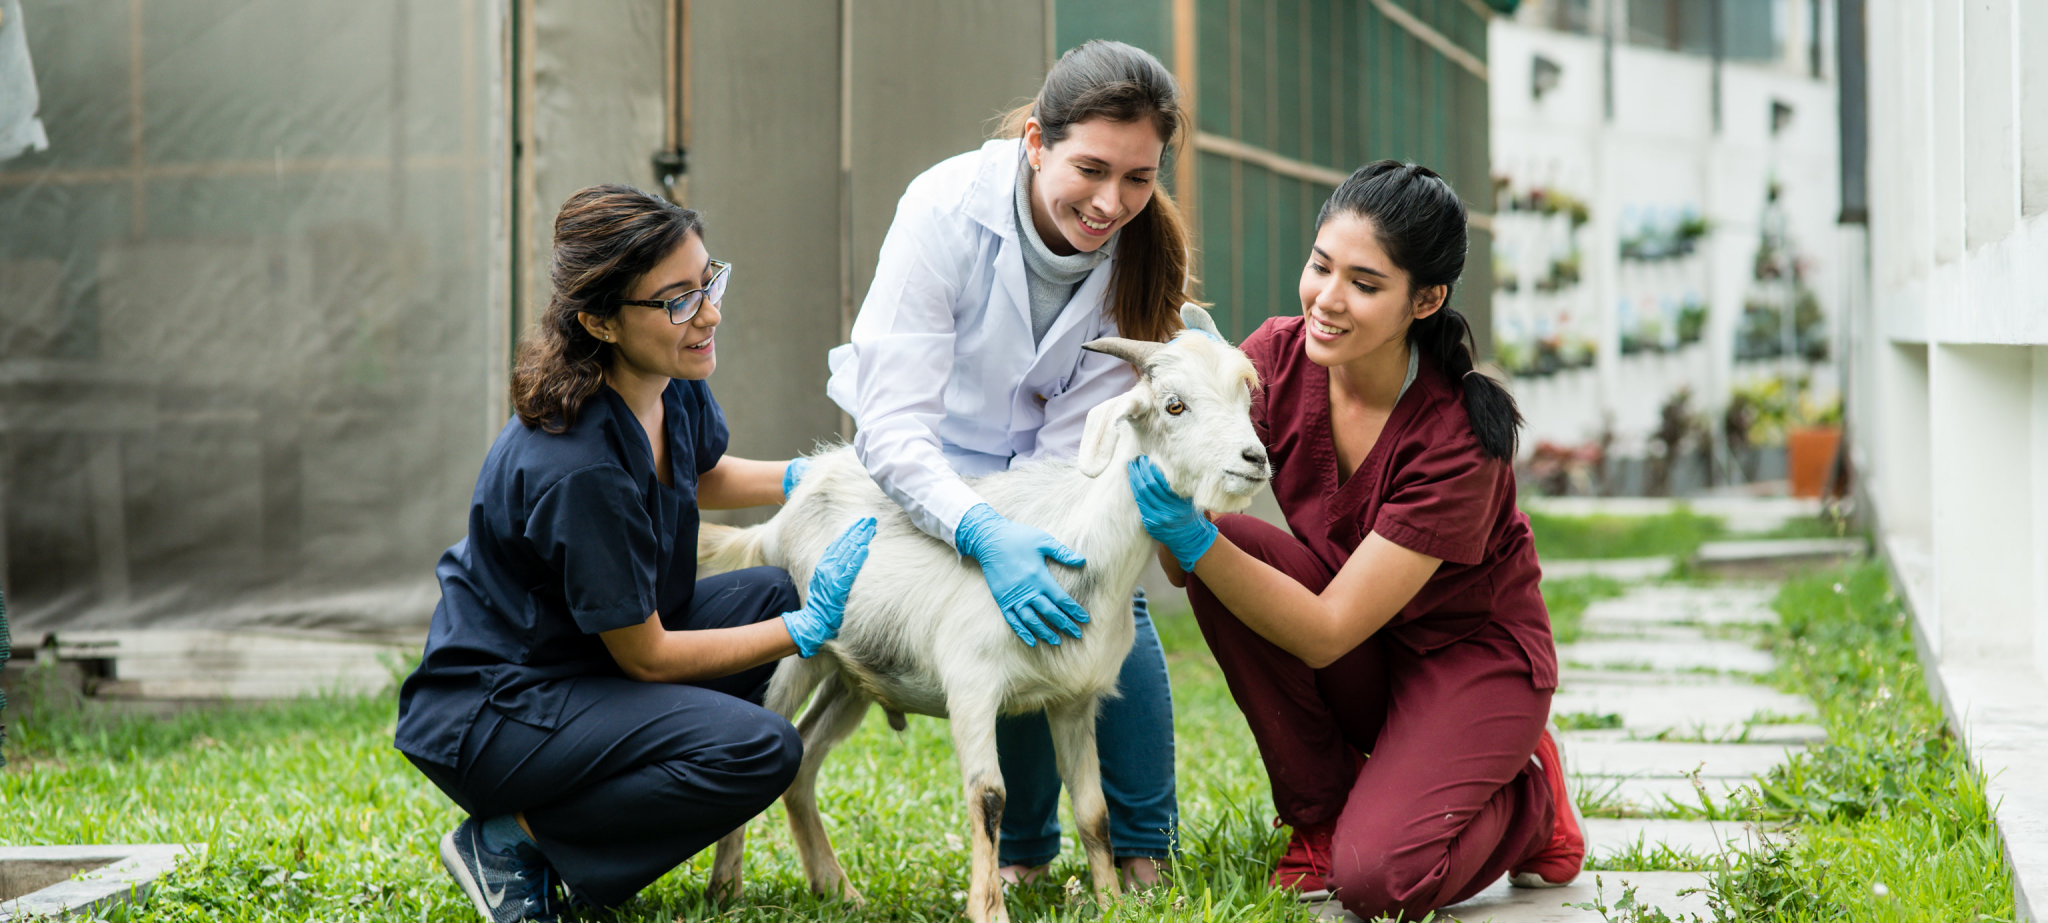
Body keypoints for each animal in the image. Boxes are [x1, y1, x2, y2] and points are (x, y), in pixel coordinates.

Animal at [696, 304, 1261, 923]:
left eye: (1246, 397)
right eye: (1174, 405)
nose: (1255, 459)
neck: (1079, 546)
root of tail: (779, 518)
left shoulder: (1074, 700)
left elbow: (1092, 810)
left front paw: (1111, 902)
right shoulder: (971, 686)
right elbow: (988, 796)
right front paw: (988, 910)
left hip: (854, 675)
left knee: (802, 762)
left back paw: (836, 889)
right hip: (801, 652)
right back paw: (726, 888)